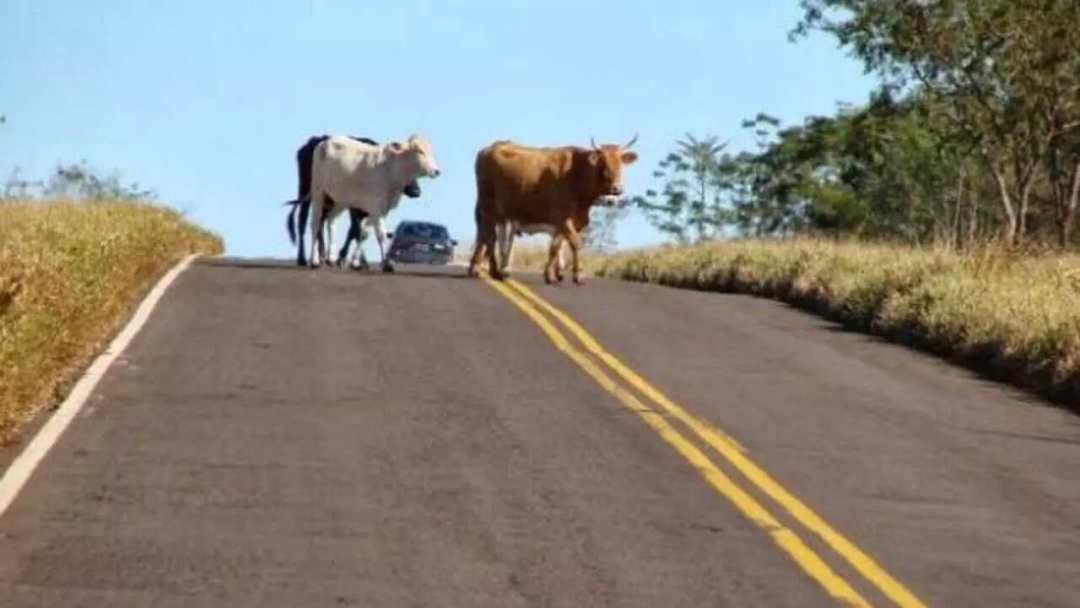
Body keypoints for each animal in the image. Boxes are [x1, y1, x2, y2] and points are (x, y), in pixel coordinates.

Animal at [304, 138, 438, 273]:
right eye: (420, 151)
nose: (436, 171)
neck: (390, 169)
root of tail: (326, 142)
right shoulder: (375, 209)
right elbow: (381, 235)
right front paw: (386, 264)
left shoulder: (381, 210)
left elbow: (364, 233)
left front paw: (355, 262)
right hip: (319, 191)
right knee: (316, 223)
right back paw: (314, 260)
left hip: (340, 200)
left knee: (331, 221)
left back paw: (331, 257)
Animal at [466, 134, 635, 285]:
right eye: (603, 164)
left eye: (620, 164)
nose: (617, 189)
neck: (576, 174)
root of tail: (488, 148)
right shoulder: (562, 217)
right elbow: (574, 243)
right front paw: (577, 275)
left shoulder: (566, 221)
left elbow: (555, 246)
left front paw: (550, 275)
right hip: (489, 207)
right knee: (489, 237)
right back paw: (494, 270)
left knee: (485, 235)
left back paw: (481, 268)